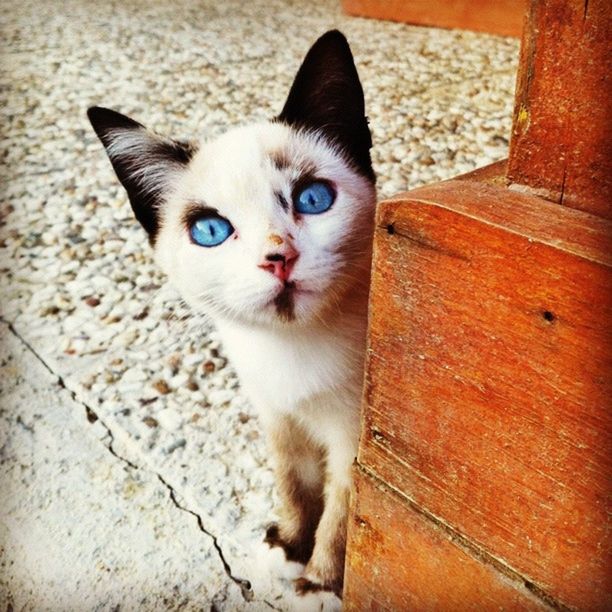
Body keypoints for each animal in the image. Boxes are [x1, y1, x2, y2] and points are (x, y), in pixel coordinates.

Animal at [88, 29, 376, 596]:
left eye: (313, 199)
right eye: (211, 230)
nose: (277, 258)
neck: (290, 351)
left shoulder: (352, 442)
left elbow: (339, 512)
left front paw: (319, 583)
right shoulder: (277, 415)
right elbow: (293, 483)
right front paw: (287, 547)